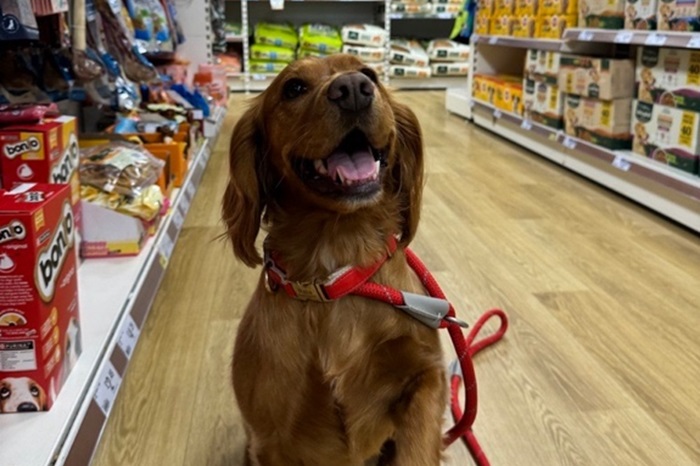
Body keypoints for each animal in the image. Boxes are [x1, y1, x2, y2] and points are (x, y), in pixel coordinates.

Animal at [221, 52, 446, 464]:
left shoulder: (428, 374)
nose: (354, 88)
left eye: (371, 73)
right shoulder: (270, 437)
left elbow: (418, 446)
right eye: (293, 87)